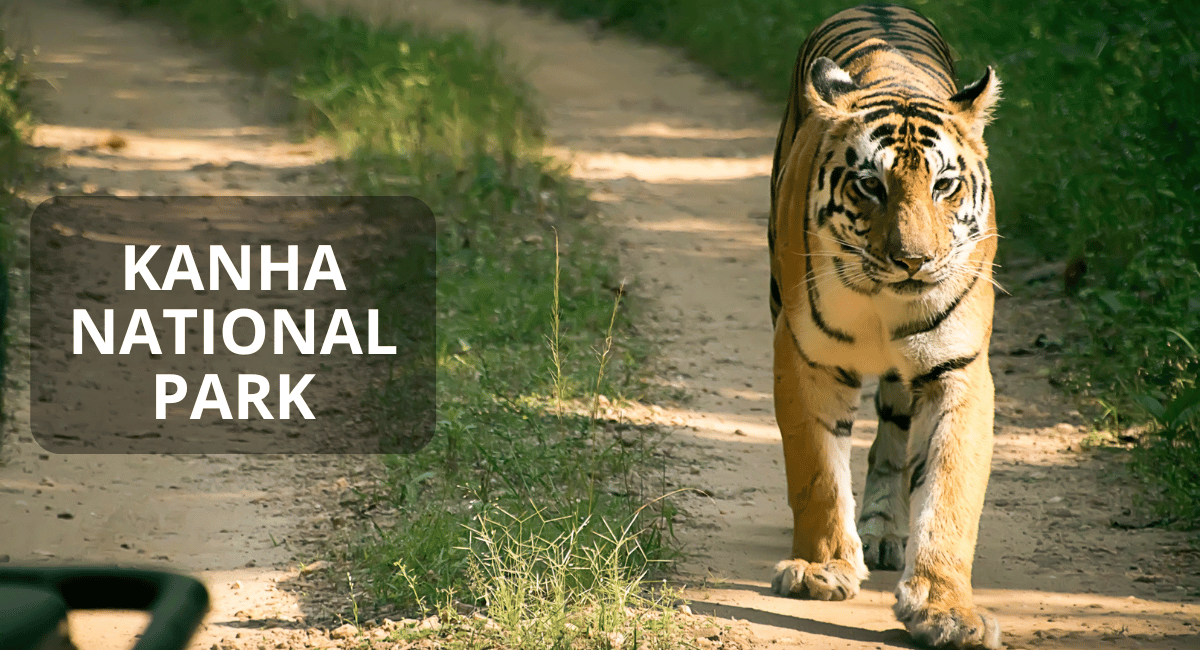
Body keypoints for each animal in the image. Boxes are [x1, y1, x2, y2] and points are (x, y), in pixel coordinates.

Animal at [768, 5, 1003, 650]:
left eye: (944, 184)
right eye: (870, 185)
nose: (913, 261)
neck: (882, 300)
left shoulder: (960, 369)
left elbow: (950, 493)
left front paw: (946, 609)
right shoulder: (804, 356)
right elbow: (816, 472)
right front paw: (821, 569)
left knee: (895, 438)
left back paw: (883, 529)